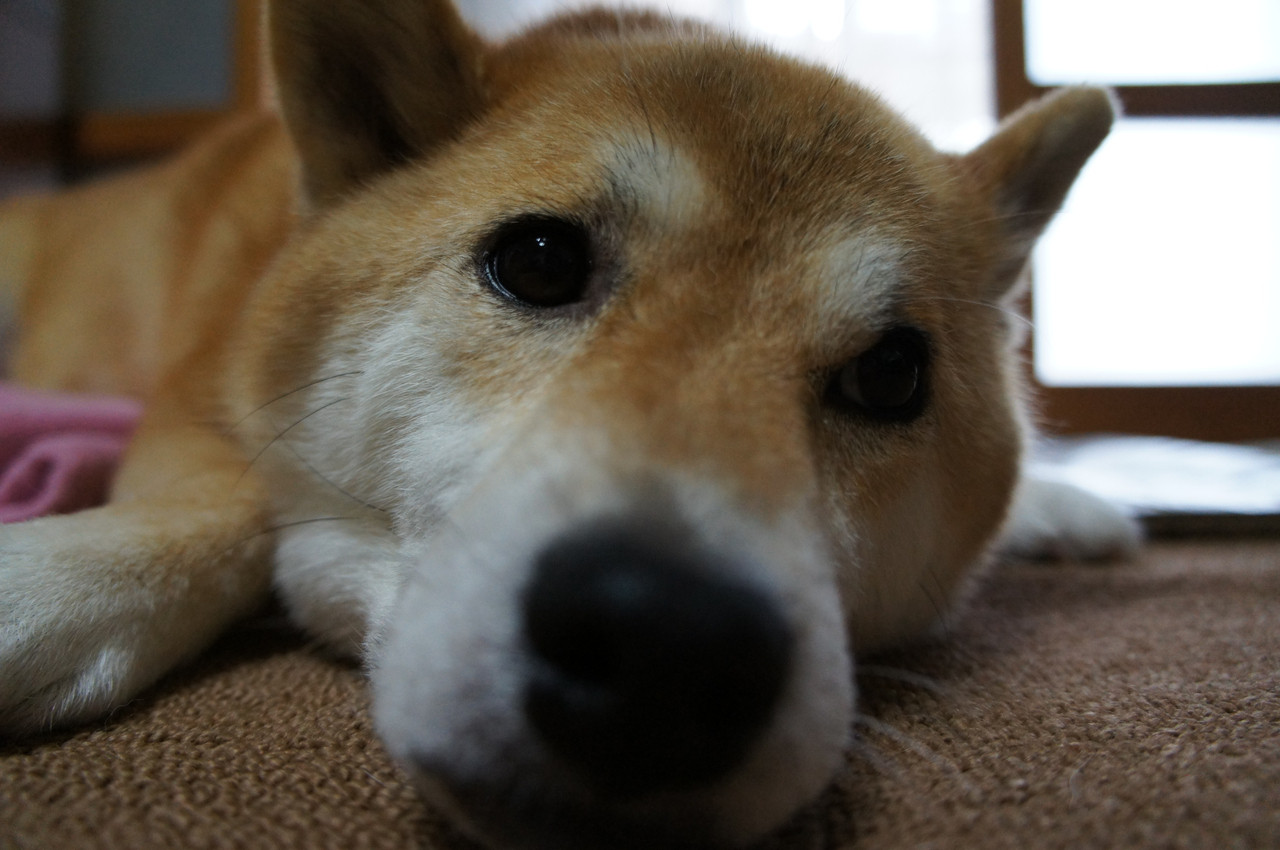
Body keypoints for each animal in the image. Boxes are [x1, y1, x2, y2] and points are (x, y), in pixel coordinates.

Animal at [0, 1, 1139, 846]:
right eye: (540, 262)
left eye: (892, 375)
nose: (664, 647)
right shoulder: (187, 399)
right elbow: (234, 501)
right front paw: (51, 580)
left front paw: (1064, 504)